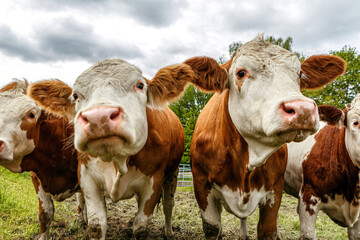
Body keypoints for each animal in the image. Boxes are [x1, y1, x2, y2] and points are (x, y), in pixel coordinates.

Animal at [27, 59, 197, 239]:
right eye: (75, 96)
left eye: (140, 85)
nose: (98, 117)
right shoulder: (87, 177)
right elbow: (96, 226)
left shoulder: (154, 181)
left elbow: (141, 227)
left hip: (173, 173)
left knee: (168, 204)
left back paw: (169, 232)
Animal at [183, 34, 346, 239]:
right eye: (241, 73)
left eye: (300, 74)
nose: (302, 109)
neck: (248, 160)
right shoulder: (201, 185)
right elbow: (213, 228)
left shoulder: (275, 190)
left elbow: (267, 230)